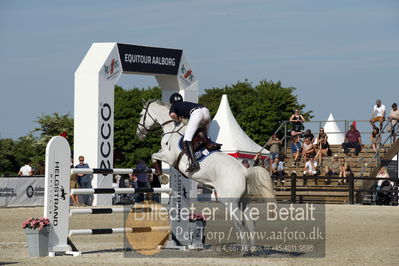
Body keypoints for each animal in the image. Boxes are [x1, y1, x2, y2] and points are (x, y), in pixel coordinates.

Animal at [137, 100, 276, 247]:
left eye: (140, 114)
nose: (138, 134)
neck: (172, 129)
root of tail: (244, 170)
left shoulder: (169, 157)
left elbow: (154, 155)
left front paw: (161, 175)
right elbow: (155, 155)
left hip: (230, 201)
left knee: (240, 222)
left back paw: (245, 248)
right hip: (244, 199)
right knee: (250, 221)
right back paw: (252, 248)